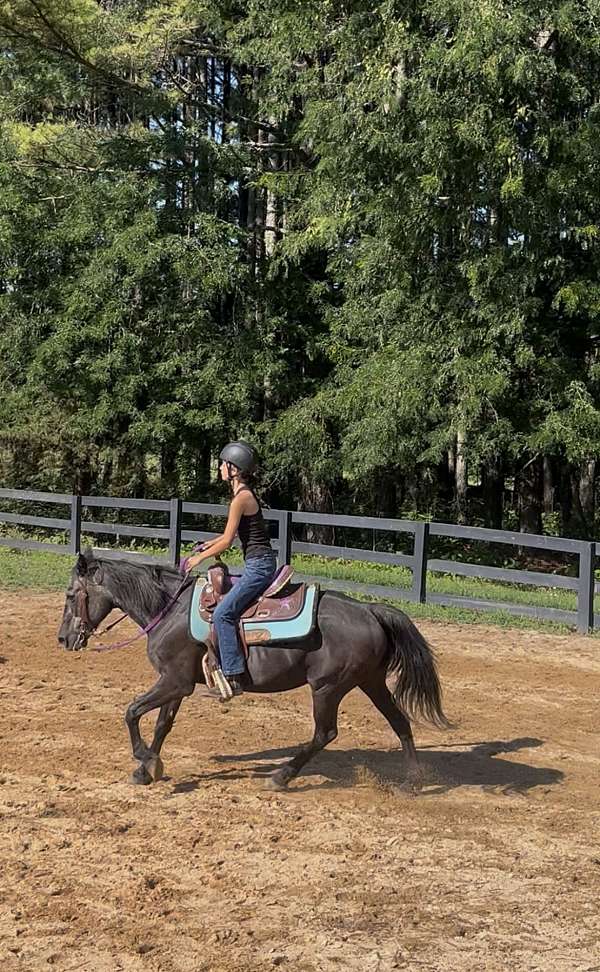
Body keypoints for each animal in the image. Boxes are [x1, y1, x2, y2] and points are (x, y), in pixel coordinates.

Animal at [58, 548, 450, 790]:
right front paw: (147, 769)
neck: (168, 609)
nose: (63, 639)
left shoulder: (175, 682)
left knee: (325, 733)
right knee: (399, 722)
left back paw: (281, 776)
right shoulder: (176, 682)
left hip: (327, 688)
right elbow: (161, 724)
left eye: (70, 595)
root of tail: (369, 610)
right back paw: (412, 780)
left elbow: (132, 712)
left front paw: (144, 760)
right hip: (371, 682)